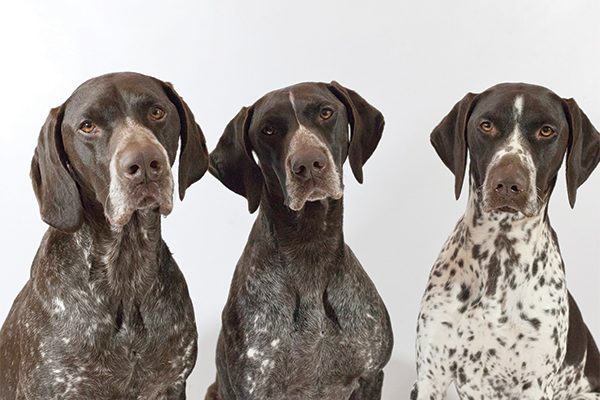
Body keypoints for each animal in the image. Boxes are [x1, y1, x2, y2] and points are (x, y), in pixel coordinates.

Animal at [205, 82, 394, 400]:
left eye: (326, 113)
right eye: (268, 130)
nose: (308, 164)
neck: (310, 246)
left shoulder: (371, 376)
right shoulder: (255, 388)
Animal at [412, 83, 600, 398]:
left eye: (547, 131)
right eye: (486, 125)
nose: (509, 184)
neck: (499, 255)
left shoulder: (535, 384)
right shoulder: (429, 375)